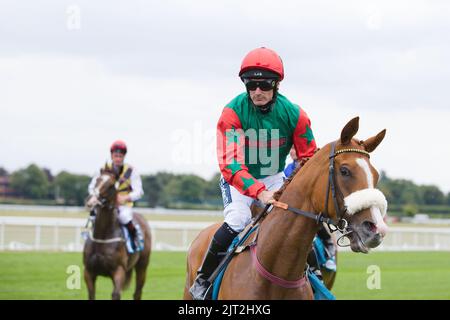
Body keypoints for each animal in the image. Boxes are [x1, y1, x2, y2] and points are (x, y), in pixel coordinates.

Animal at [81, 170, 151, 300]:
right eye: (97, 180)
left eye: (111, 185)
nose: (91, 201)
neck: (102, 237)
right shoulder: (88, 271)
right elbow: (91, 294)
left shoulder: (119, 270)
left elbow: (116, 294)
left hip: (142, 265)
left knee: (137, 292)